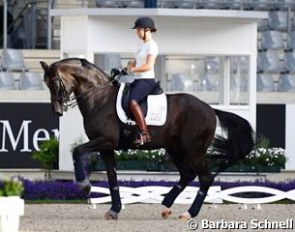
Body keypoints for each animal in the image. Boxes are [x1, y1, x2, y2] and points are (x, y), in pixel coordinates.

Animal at [40, 57, 256, 219]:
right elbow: (111, 177)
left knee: (205, 178)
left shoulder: (106, 141)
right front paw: (114, 210)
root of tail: (211, 109)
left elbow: (76, 151)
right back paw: (166, 205)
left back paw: (189, 212)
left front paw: (84, 186)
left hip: (193, 150)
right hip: (175, 149)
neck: (99, 99)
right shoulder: (106, 148)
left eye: (55, 83)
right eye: (47, 84)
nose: (58, 111)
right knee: (187, 175)